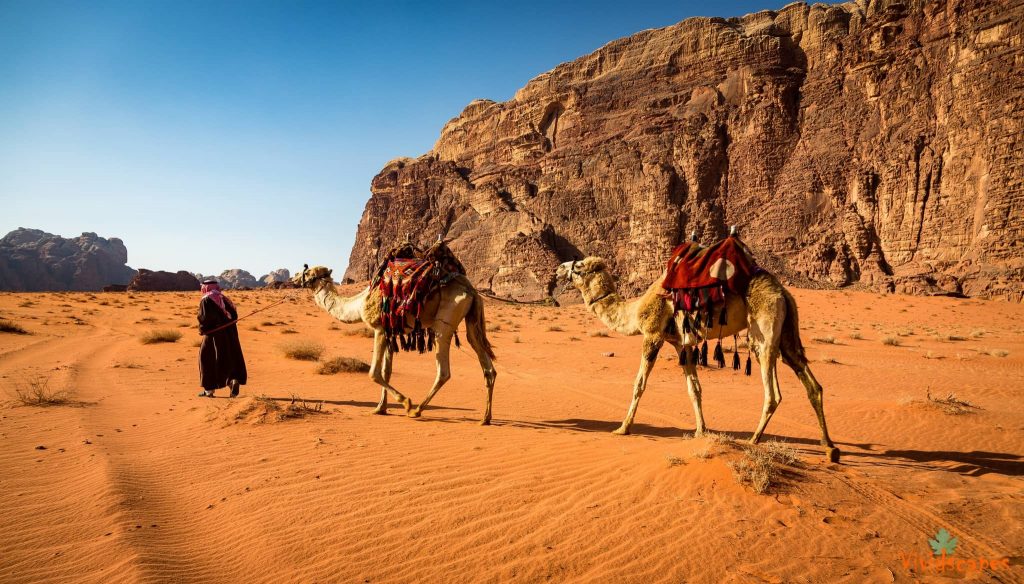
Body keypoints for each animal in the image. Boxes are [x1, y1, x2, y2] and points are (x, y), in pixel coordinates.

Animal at [288, 264, 495, 422]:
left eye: (307, 271)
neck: (359, 303)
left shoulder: (379, 329)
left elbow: (374, 373)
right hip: (471, 319)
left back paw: (417, 410)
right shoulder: (390, 332)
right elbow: (386, 371)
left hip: (444, 322)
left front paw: (405, 402)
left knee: (443, 371)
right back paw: (485, 418)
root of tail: (471, 290)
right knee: (486, 363)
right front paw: (380, 408)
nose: (293, 279)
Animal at [561, 252, 839, 461]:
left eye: (579, 266)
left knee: (773, 393)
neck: (634, 309)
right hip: (788, 333)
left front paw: (622, 428)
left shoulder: (652, 334)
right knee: (811, 383)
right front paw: (701, 431)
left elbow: (639, 384)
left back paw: (754, 439)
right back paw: (829, 446)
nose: (560, 267)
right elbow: (694, 388)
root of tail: (782, 292)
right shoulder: (680, 344)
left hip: (764, 330)